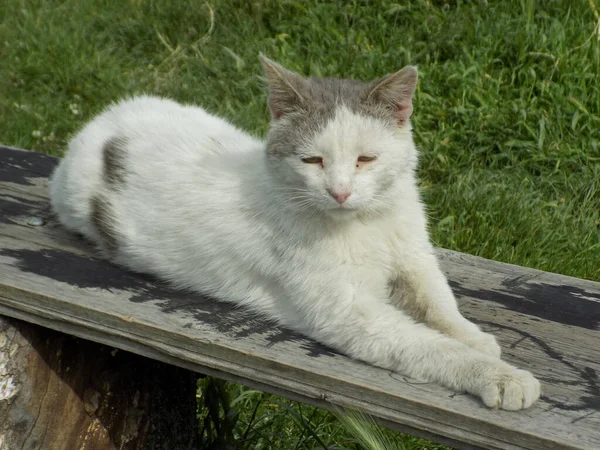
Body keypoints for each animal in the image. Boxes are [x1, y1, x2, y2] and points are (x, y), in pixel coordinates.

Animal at [49, 54, 540, 410]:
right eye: (312, 160)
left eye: (366, 159)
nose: (340, 191)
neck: (364, 223)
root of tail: (99, 124)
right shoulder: (349, 314)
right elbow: (429, 346)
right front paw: (499, 375)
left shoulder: (414, 255)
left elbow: (438, 301)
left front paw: (475, 337)